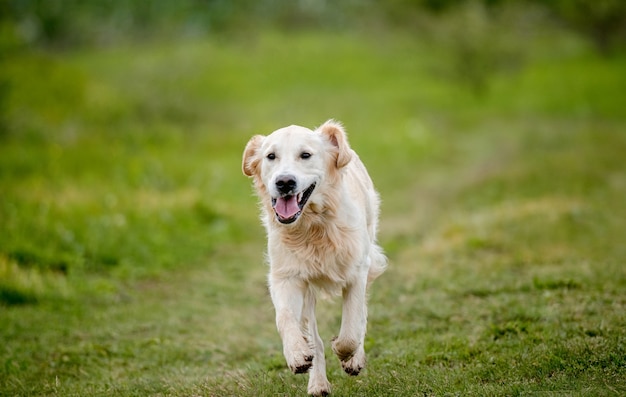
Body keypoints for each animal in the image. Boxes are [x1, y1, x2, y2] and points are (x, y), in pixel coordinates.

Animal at [243, 119, 386, 394]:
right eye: (271, 156)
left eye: (306, 155)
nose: (284, 182)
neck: (312, 226)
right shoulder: (285, 276)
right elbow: (284, 318)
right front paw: (296, 354)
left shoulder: (357, 270)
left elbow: (352, 327)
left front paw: (347, 354)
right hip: (308, 291)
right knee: (314, 337)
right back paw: (318, 382)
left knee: (360, 316)